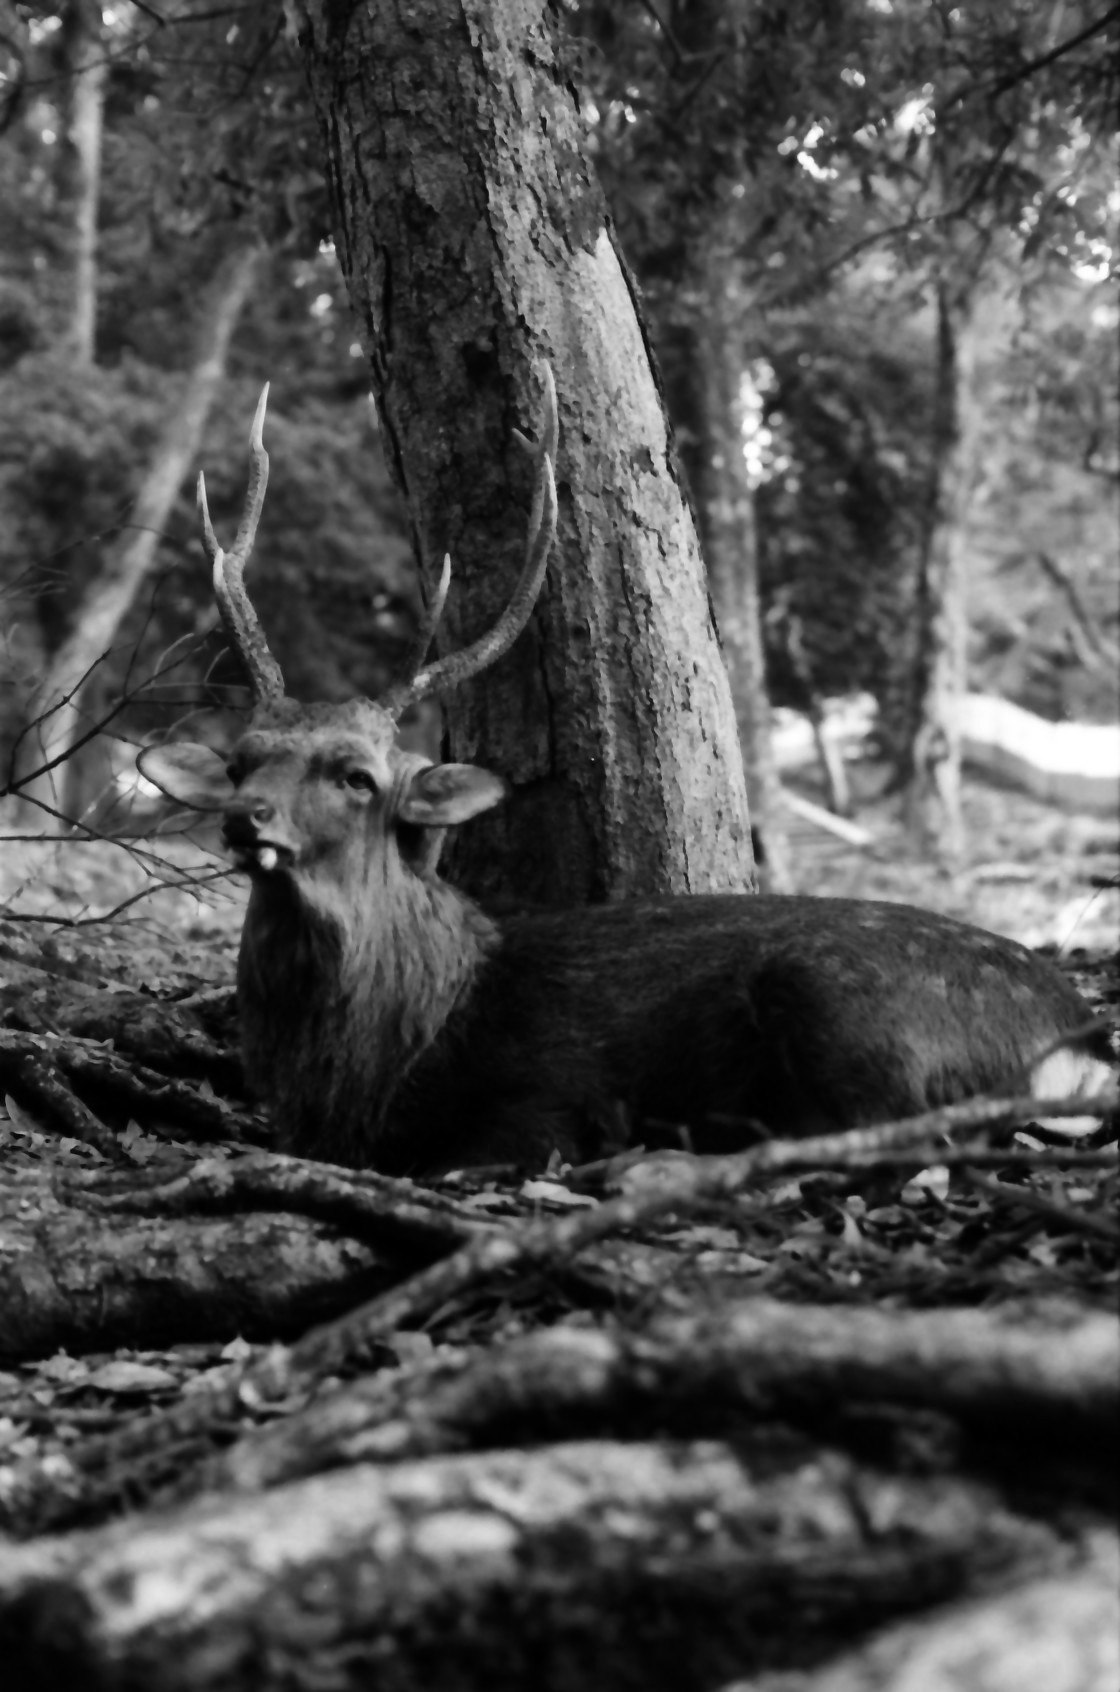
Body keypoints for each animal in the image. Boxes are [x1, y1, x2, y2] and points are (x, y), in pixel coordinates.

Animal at [138, 370, 1115, 1177]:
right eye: (241, 759)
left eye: (357, 776)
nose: (246, 817)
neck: (381, 1064)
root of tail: (1078, 1035)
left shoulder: (542, 1099)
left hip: (850, 1006)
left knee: (897, 1143)